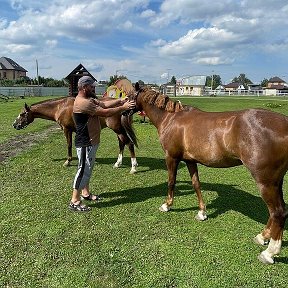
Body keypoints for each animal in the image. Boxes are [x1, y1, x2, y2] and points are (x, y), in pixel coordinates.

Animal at [127, 84, 288, 264]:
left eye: (129, 95)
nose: (123, 111)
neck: (170, 118)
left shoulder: (171, 158)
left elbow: (171, 182)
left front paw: (166, 205)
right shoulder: (190, 161)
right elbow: (196, 184)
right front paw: (201, 212)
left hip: (265, 182)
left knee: (278, 212)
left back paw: (269, 252)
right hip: (275, 181)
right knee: (277, 211)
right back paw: (262, 236)